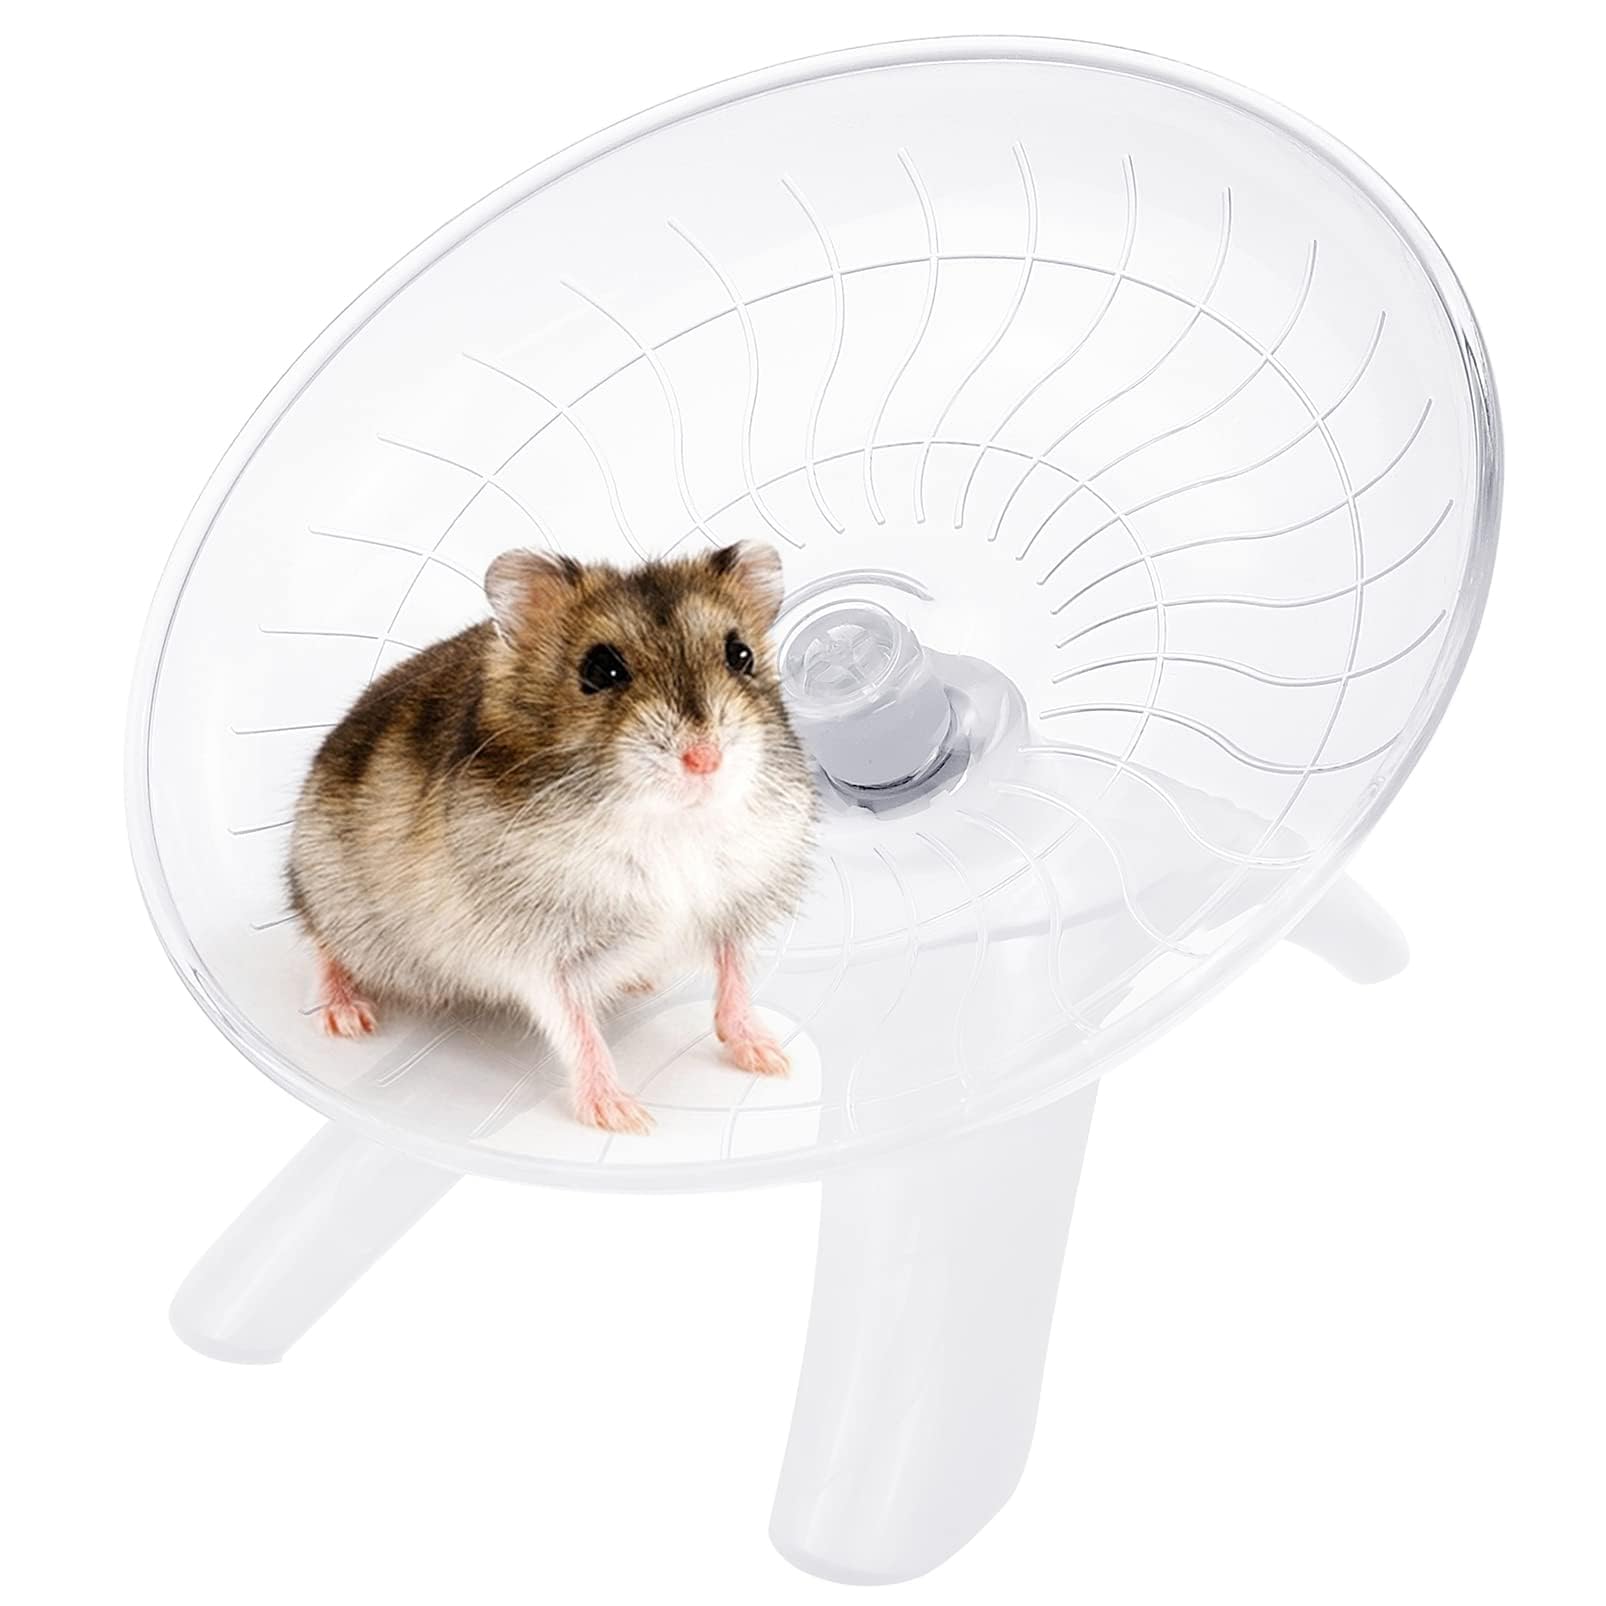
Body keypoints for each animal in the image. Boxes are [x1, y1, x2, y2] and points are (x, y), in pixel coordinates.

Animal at [287, 540, 819, 1134]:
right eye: (601, 669)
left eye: (740, 655)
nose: (705, 760)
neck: (667, 823)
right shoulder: (538, 953)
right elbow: (576, 1026)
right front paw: (623, 1117)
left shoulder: (730, 905)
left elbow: (734, 977)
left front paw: (771, 1059)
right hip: (332, 891)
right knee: (323, 944)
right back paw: (346, 1017)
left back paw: (638, 982)